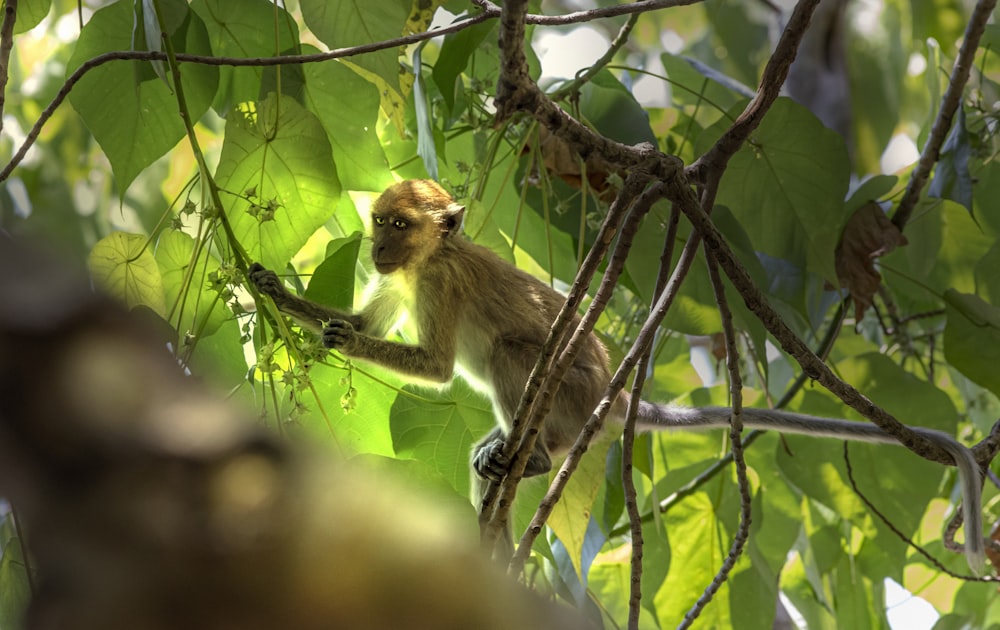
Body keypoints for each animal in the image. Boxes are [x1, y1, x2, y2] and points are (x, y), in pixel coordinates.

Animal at [248, 180, 984, 576]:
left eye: (399, 224)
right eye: (379, 223)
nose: (376, 246)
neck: (428, 256)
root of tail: (613, 393)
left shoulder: (437, 283)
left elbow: (434, 366)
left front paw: (338, 338)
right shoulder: (401, 278)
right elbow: (368, 316)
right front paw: (275, 292)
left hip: (570, 395)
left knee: (514, 352)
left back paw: (532, 455)